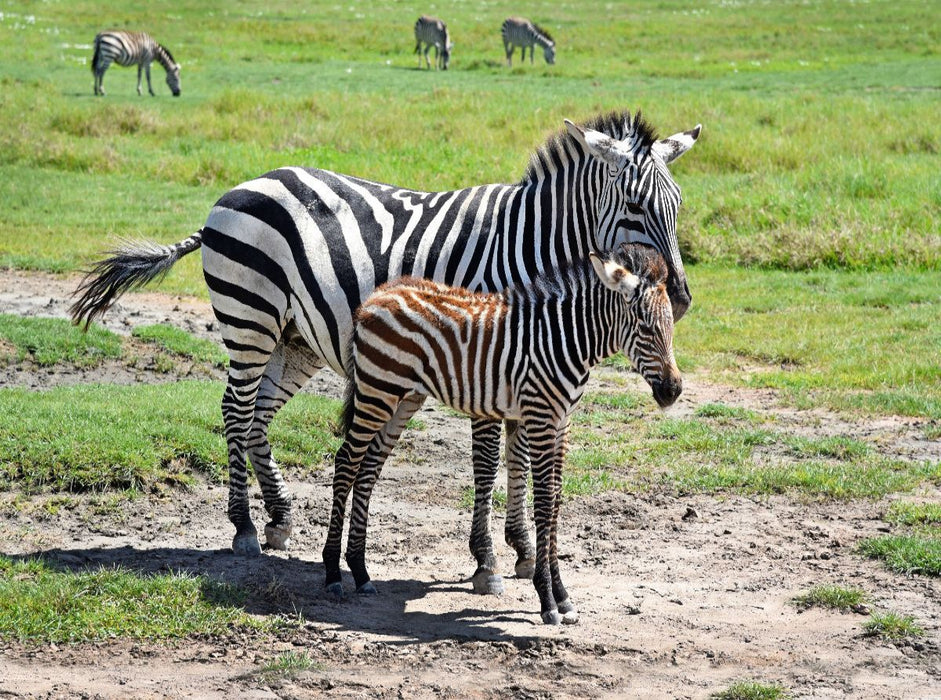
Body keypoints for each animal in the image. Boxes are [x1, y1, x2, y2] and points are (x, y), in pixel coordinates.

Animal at [327, 243, 681, 624]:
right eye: (645, 327)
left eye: (671, 327)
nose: (673, 391)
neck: (565, 341)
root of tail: (377, 294)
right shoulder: (540, 417)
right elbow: (543, 503)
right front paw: (547, 599)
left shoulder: (562, 423)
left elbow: (556, 502)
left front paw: (563, 596)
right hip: (377, 391)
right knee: (346, 462)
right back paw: (333, 573)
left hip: (404, 398)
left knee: (368, 469)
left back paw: (360, 571)